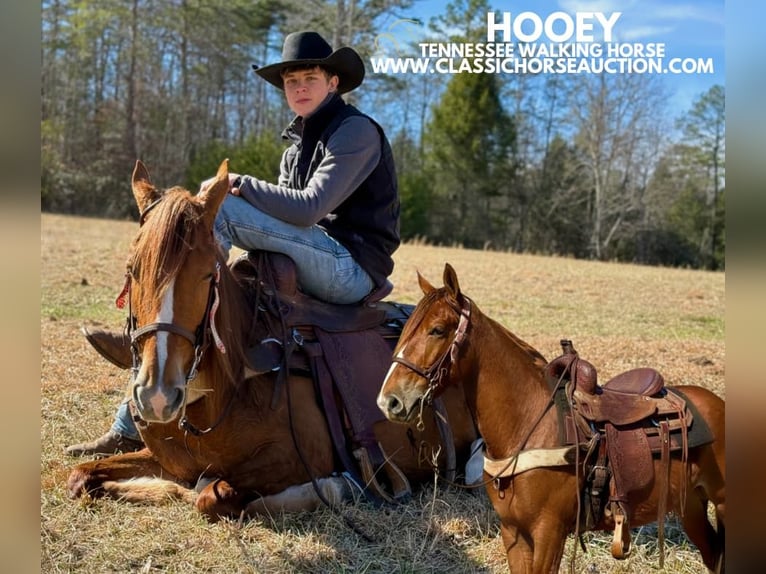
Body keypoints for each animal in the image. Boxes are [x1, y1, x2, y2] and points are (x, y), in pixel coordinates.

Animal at [67, 160, 480, 520]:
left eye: (207, 274)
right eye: (132, 270)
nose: (157, 396)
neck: (218, 392)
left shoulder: (299, 457)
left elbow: (208, 494)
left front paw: (337, 488)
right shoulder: (166, 458)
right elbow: (81, 475)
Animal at [378, 266, 728, 574]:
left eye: (437, 330)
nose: (389, 400)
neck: (527, 423)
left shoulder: (550, 532)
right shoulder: (513, 532)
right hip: (690, 507)